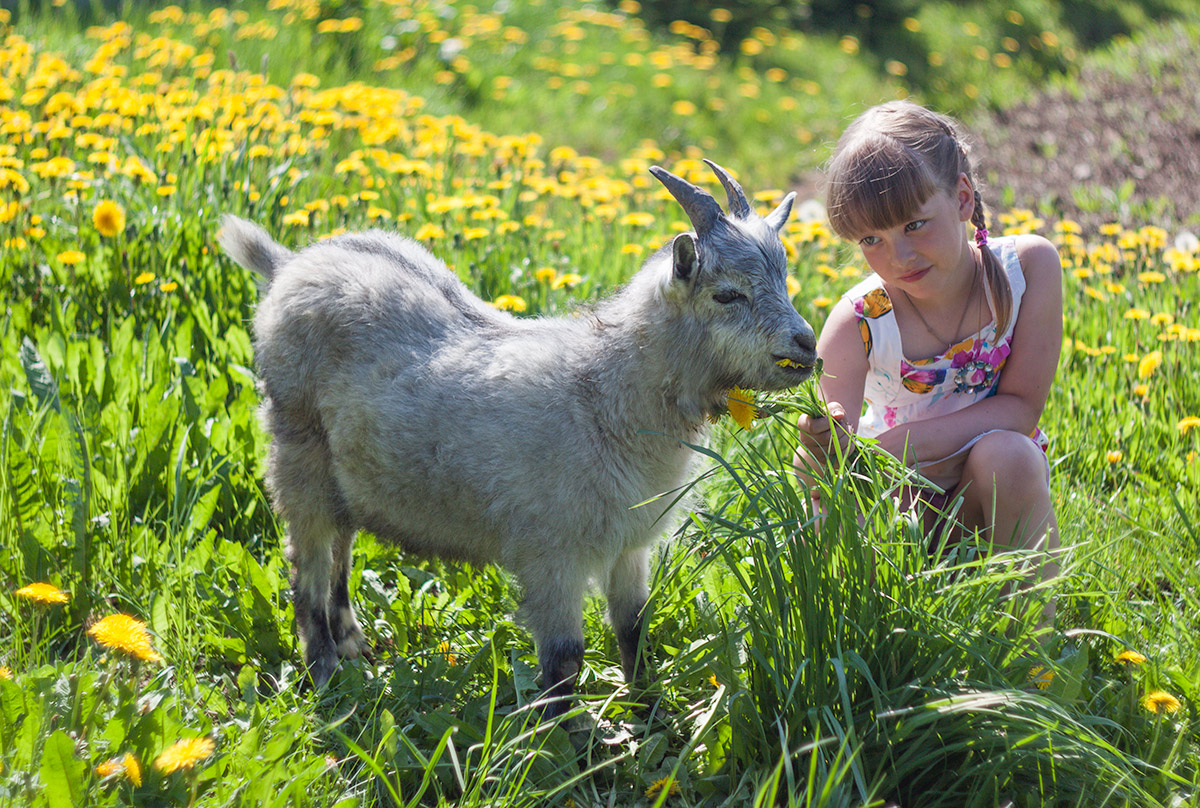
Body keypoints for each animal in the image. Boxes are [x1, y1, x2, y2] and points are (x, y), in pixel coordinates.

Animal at [218, 160, 816, 715]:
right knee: (309, 564)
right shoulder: (551, 552)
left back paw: (352, 644)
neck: (600, 388)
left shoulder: (629, 545)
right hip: (296, 447)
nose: (806, 345)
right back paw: (324, 672)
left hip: (342, 473)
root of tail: (288, 265)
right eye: (727, 294)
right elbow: (564, 660)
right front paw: (570, 743)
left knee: (341, 542)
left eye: (784, 279)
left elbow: (634, 630)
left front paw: (648, 714)